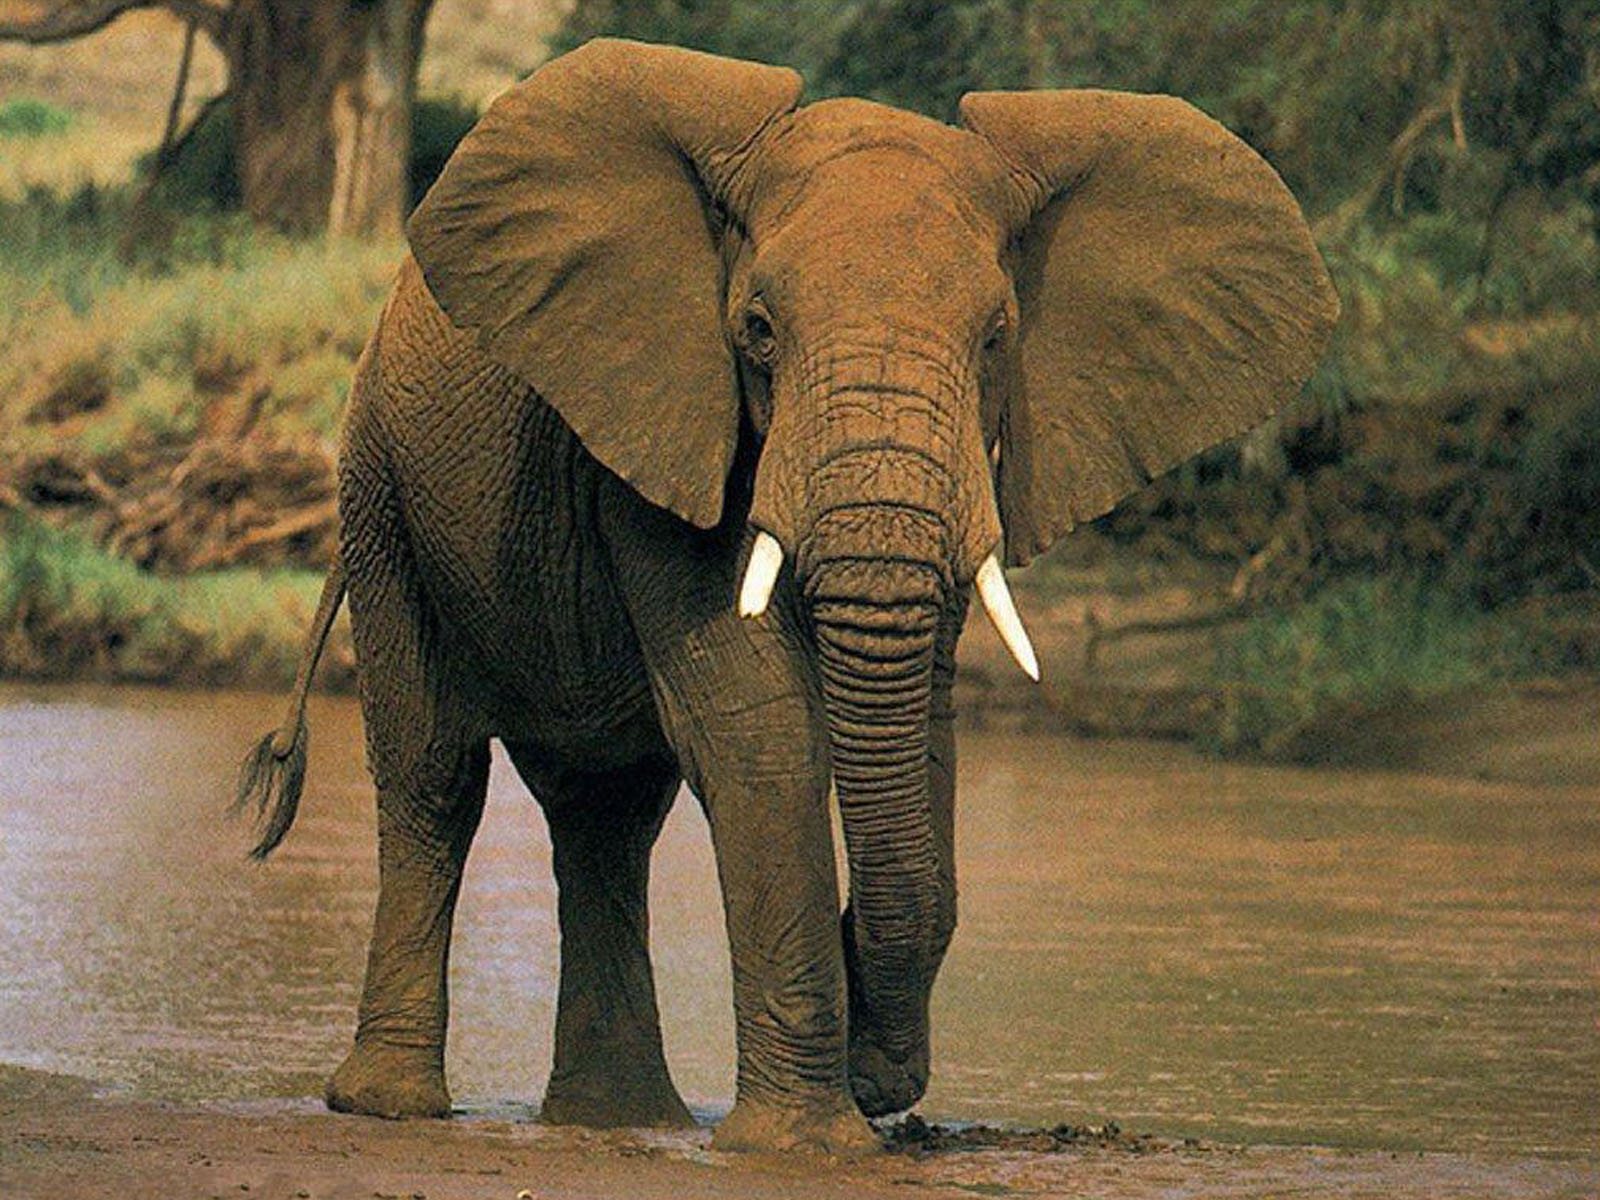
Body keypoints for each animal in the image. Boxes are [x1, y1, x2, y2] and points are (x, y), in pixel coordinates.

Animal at [236, 37, 1337, 1153]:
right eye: (758, 331)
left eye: (997, 336)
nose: (881, 1075)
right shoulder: (668, 416)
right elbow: (760, 728)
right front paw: (807, 1141)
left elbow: (919, 728)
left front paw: (858, 1077)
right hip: (380, 493)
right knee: (435, 775)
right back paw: (395, 1105)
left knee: (607, 816)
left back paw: (619, 1120)